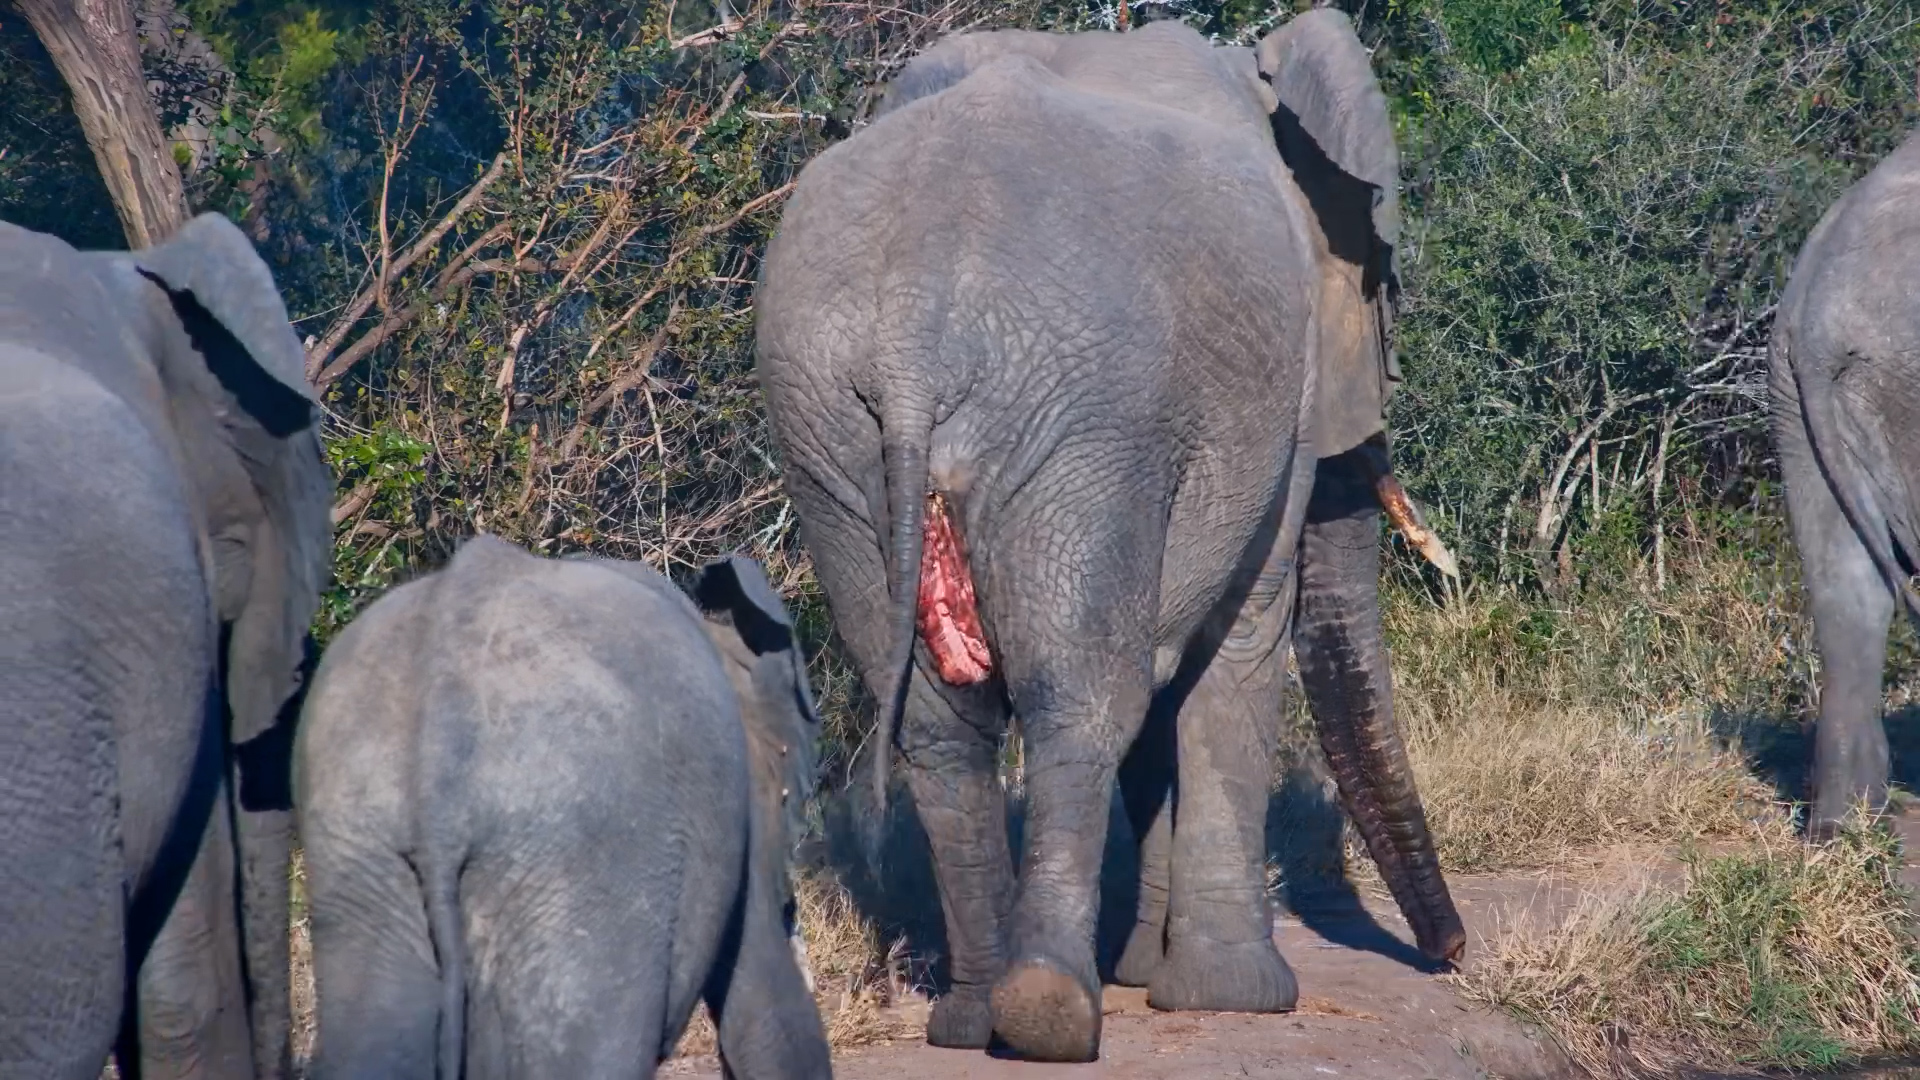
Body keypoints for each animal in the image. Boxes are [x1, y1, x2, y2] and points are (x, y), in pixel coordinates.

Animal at [754, 12, 1464, 1065]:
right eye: (1381, 291)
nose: (1452, 955)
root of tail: (916, 329)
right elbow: (1243, 630)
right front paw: (1238, 997)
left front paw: (1148, 971)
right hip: (1086, 422)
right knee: (1084, 694)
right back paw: (1049, 1014)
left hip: (828, 430)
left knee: (940, 726)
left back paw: (971, 1018)